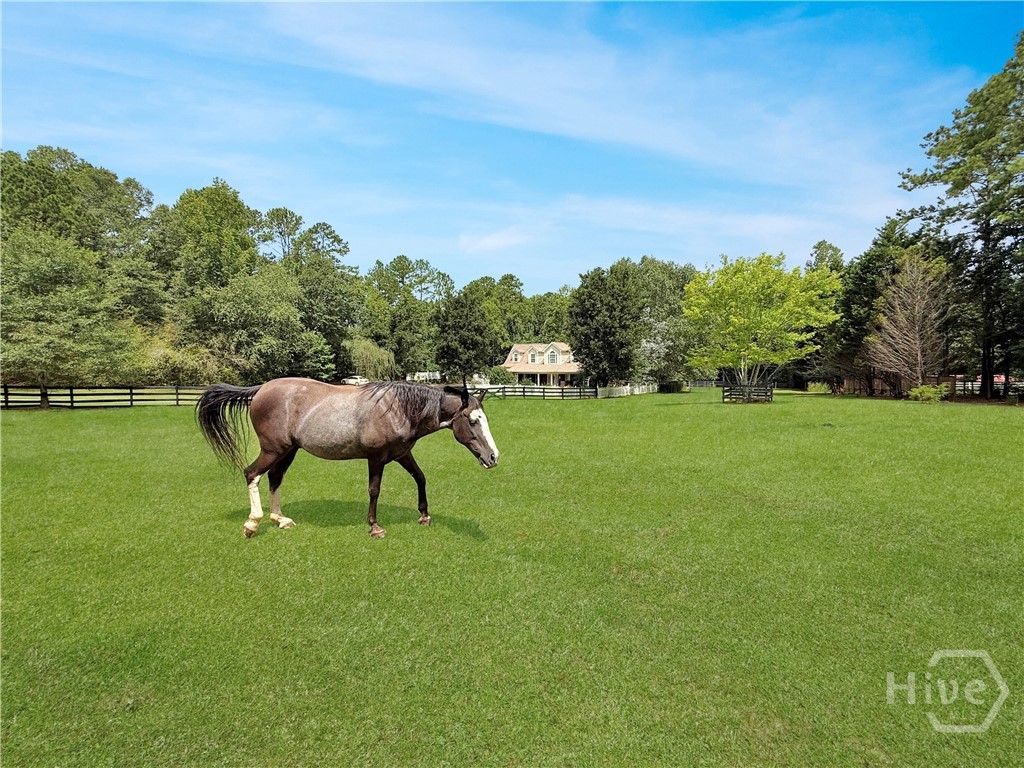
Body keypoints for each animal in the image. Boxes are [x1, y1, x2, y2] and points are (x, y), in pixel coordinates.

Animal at [196, 378, 499, 539]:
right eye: (473, 421)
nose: (493, 457)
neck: (397, 409)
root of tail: (260, 390)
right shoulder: (376, 458)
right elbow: (374, 490)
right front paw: (375, 526)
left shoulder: (402, 454)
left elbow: (420, 478)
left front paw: (424, 515)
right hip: (273, 450)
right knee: (252, 474)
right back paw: (252, 523)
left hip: (288, 451)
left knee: (275, 478)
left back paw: (280, 519)